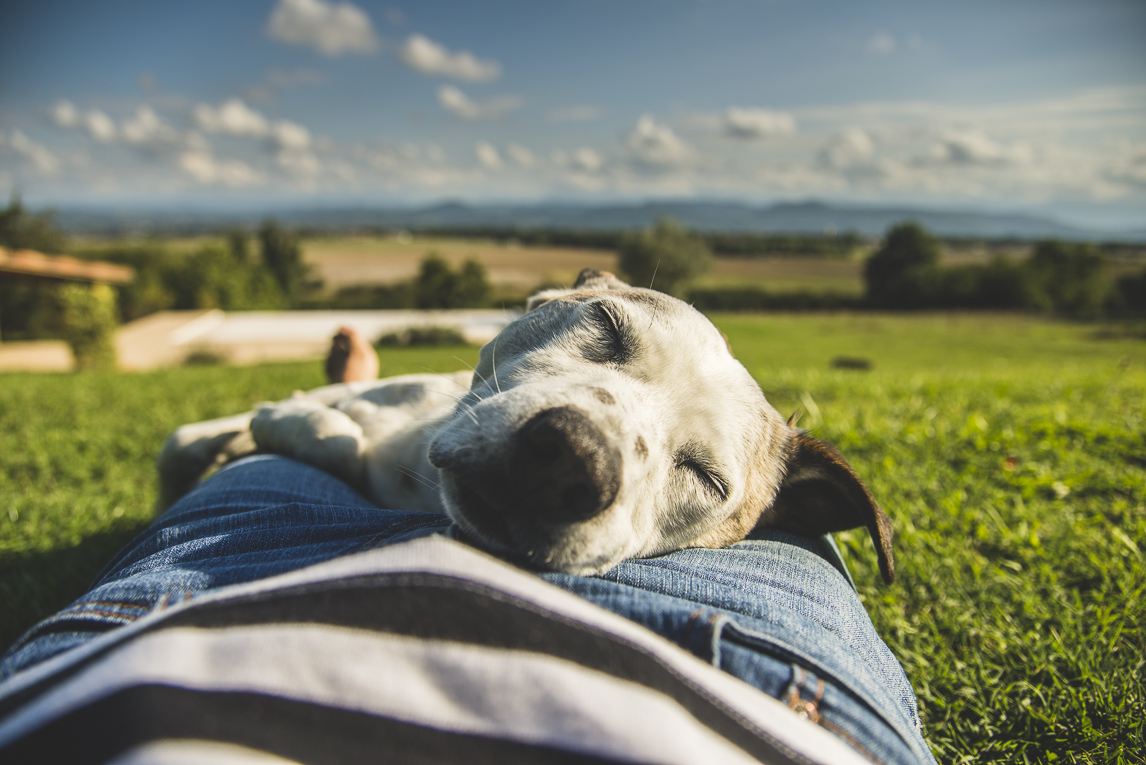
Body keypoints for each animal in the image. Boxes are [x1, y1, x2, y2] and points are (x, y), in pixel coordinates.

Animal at [154, 267, 893, 579]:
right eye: (606, 324)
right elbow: (328, 424)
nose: (571, 458)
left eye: (706, 479)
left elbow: (333, 437)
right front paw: (275, 417)